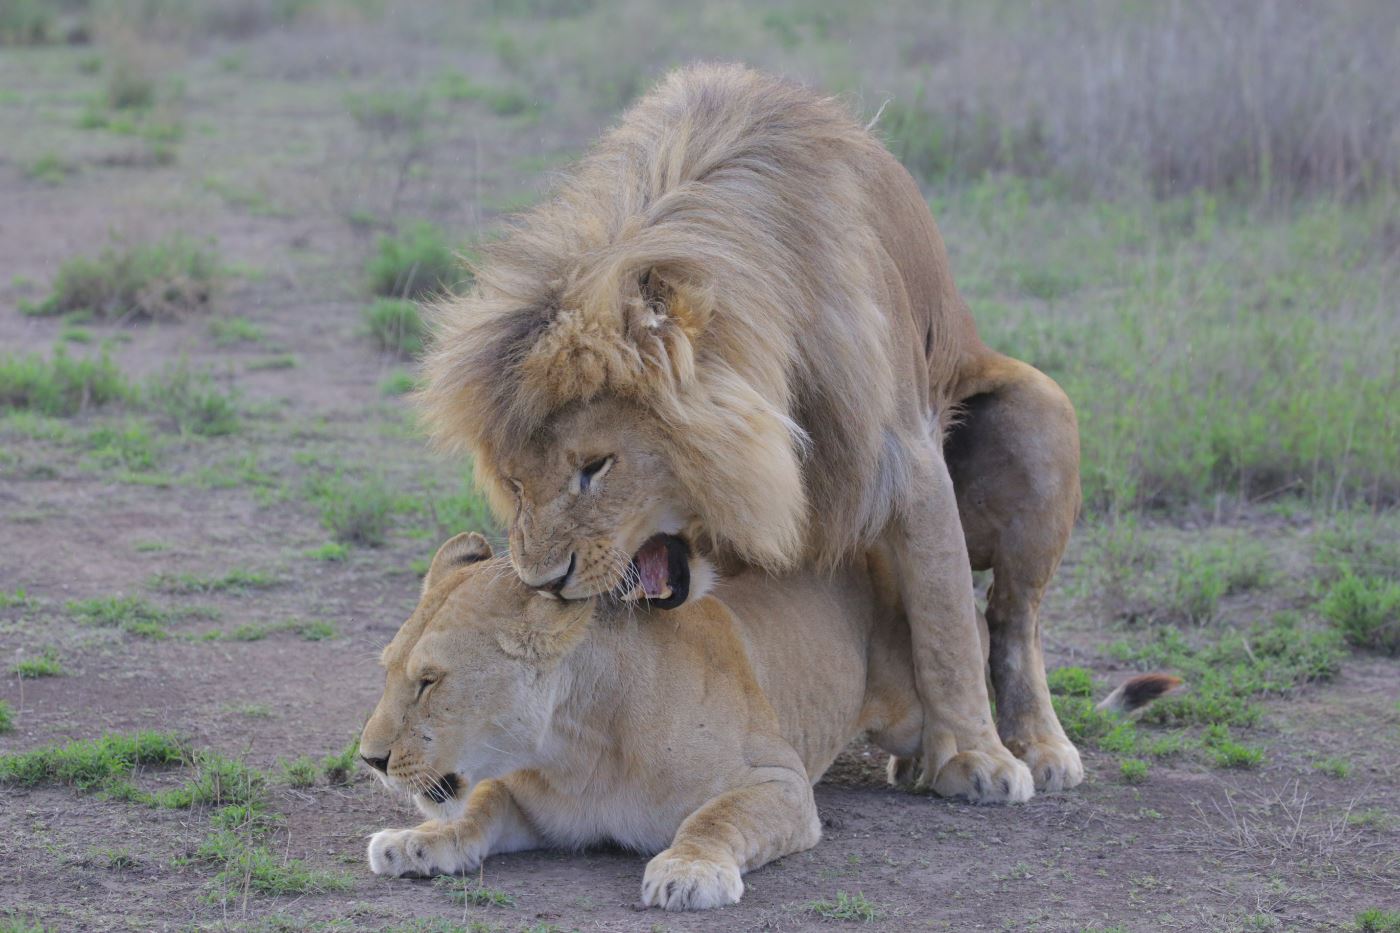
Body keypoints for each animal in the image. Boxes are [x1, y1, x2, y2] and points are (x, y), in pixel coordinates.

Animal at [359, 533, 1179, 910]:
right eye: (389, 669)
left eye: (430, 681)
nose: (369, 759)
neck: (579, 741)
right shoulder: (531, 802)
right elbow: (478, 808)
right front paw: (414, 843)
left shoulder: (779, 782)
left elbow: (712, 819)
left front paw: (688, 872)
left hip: (916, 697)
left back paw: (972, 765)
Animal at [418, 63, 1084, 801]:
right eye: (513, 482)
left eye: (595, 466)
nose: (546, 582)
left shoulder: (905, 458)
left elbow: (947, 624)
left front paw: (976, 758)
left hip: (1040, 411)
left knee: (1011, 618)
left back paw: (1039, 747)